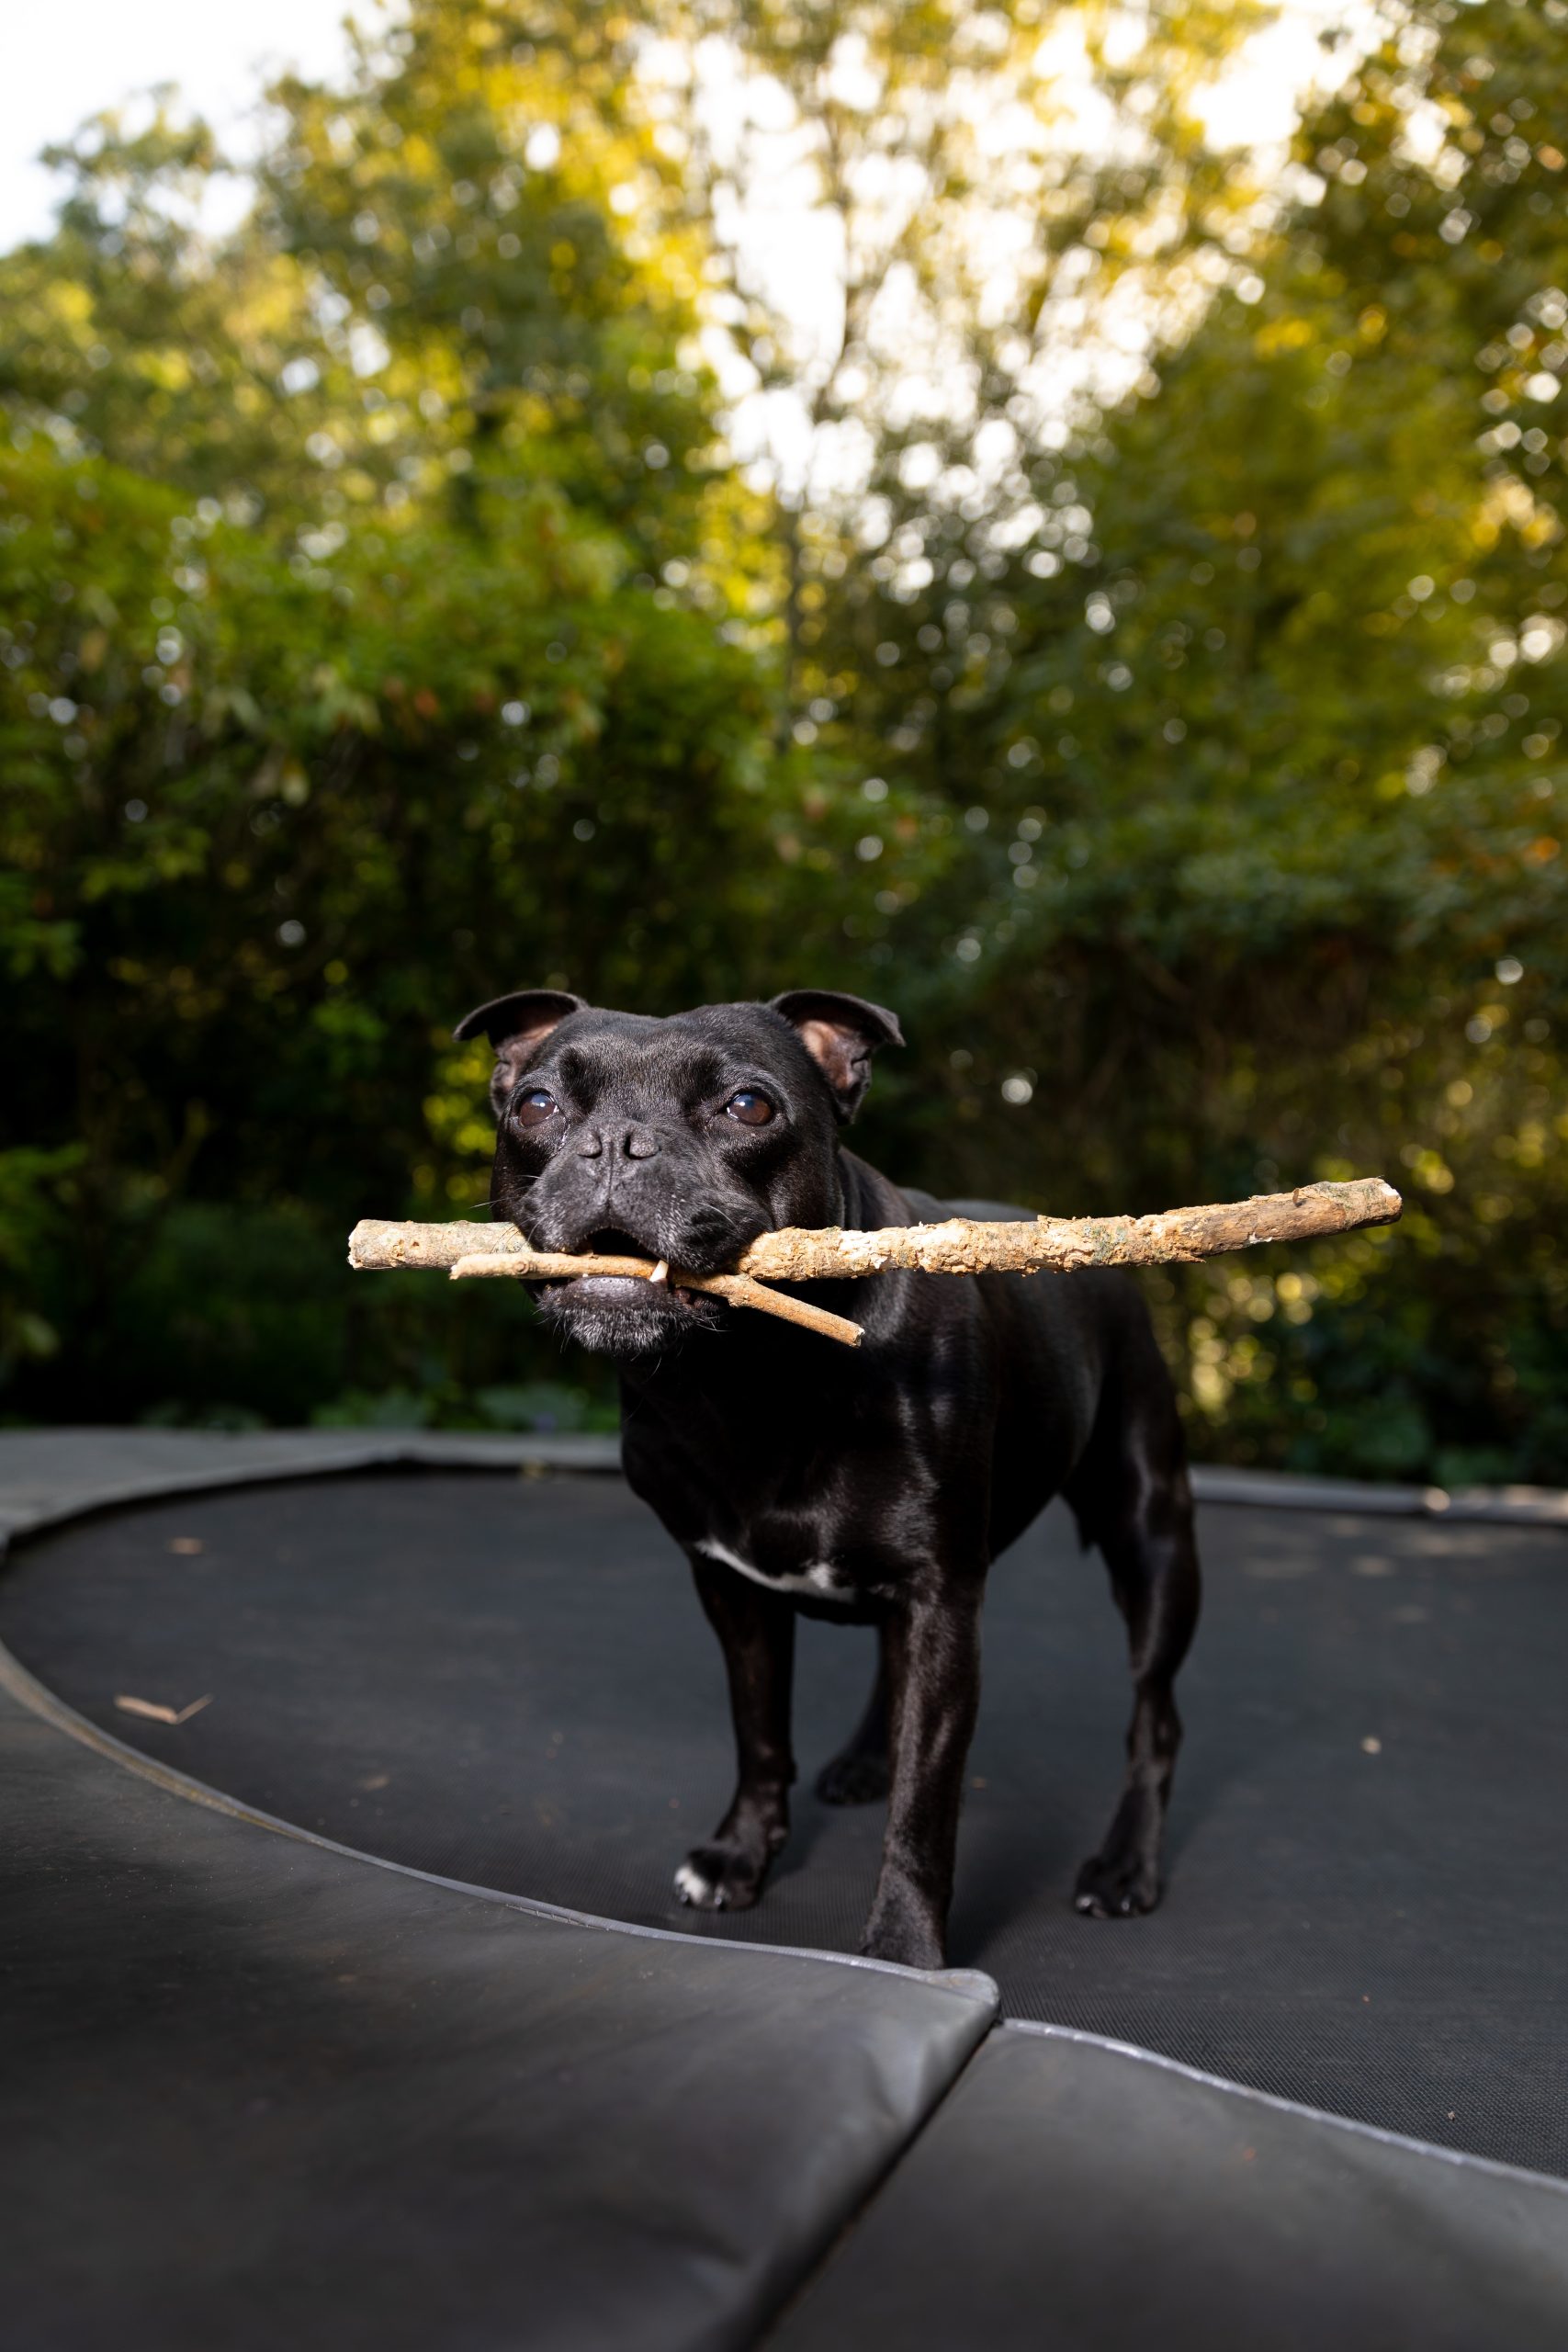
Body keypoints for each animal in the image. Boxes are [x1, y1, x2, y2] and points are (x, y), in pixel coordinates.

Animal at [453, 983, 1203, 1975]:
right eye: (536, 1104)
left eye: (748, 1106)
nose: (616, 1143)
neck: (745, 1380)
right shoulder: (733, 1591)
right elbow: (761, 1736)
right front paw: (740, 1856)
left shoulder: (941, 1601)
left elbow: (925, 1803)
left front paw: (902, 1953)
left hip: (1152, 1536)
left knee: (1153, 1716)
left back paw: (1124, 1864)